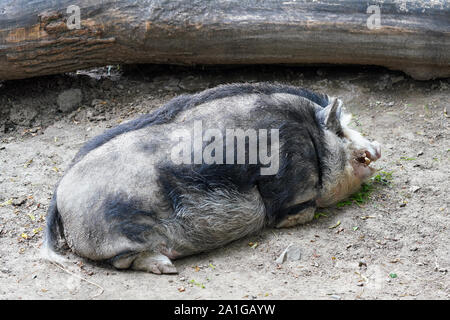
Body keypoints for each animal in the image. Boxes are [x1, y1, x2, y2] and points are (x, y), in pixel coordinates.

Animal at [43, 83, 380, 276]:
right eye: (339, 130)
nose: (377, 147)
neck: (310, 135)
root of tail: (58, 197)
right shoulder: (290, 188)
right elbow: (300, 212)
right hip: (116, 236)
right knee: (122, 261)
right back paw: (167, 268)